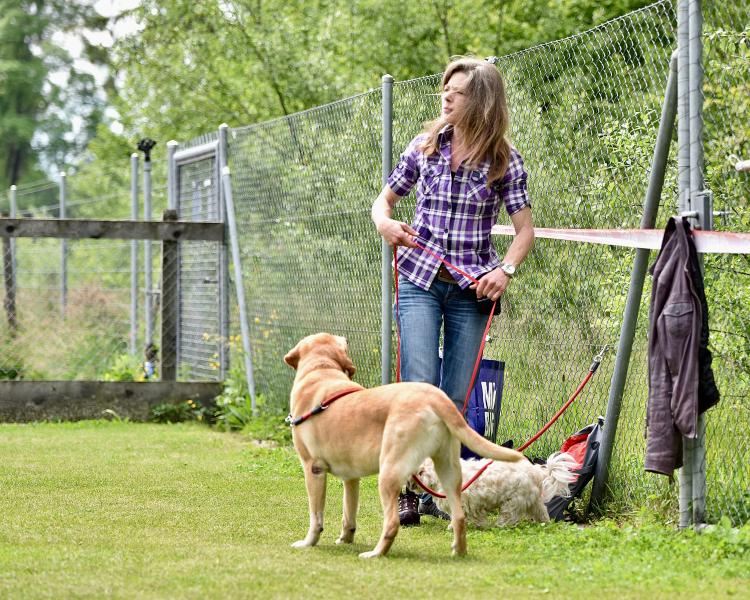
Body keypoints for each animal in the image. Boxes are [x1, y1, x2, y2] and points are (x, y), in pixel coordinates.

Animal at [283, 332, 526, 558]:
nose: (346, 338)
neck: (320, 370)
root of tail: (435, 396)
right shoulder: (351, 479)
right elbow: (348, 514)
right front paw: (345, 539)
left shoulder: (313, 469)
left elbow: (315, 517)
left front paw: (308, 542)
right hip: (449, 471)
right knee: (459, 517)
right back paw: (459, 551)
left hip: (389, 471)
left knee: (392, 523)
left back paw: (376, 553)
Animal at [409, 453, 578, 527]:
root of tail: (535, 471)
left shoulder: (467, 503)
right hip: (533, 501)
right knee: (541, 512)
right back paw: (545, 523)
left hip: (513, 502)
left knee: (509, 516)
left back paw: (500, 525)